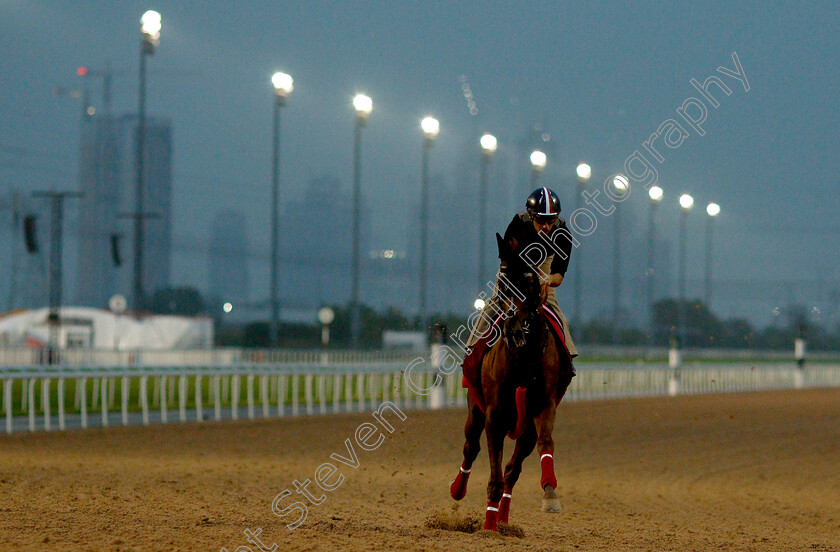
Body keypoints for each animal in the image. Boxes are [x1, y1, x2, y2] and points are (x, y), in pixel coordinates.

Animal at [450, 232, 576, 532]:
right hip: (475, 409)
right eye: (503, 280)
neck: (523, 359)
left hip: (524, 427)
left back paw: (504, 518)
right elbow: (492, 474)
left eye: (530, 281)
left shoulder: (543, 405)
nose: (513, 330)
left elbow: (545, 443)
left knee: (513, 469)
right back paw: (459, 490)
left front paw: (550, 494)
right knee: (471, 447)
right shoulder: (494, 414)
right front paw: (488, 527)